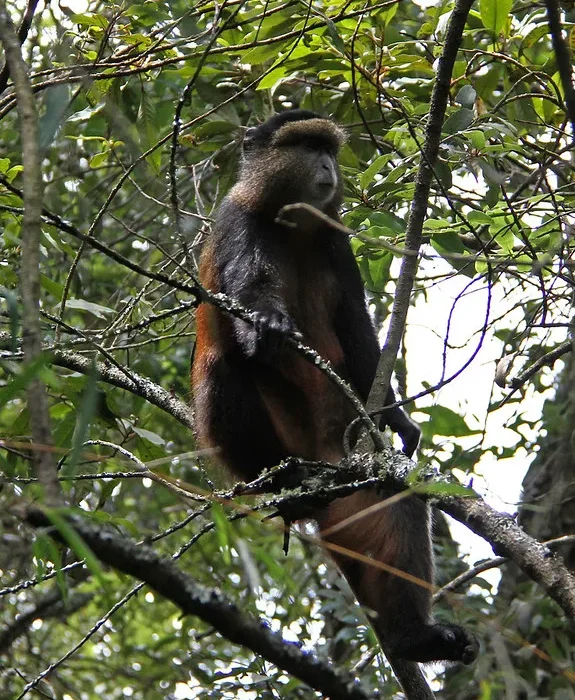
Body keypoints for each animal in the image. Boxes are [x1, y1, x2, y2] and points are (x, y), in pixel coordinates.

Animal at [191, 109, 478, 665]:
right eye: (305, 146)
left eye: (327, 148)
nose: (325, 165)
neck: (294, 227)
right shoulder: (240, 226)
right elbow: (250, 297)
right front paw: (269, 323)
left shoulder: (336, 242)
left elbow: (359, 335)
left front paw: (398, 419)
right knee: (224, 368)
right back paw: (283, 482)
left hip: (352, 479)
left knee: (399, 501)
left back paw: (414, 636)